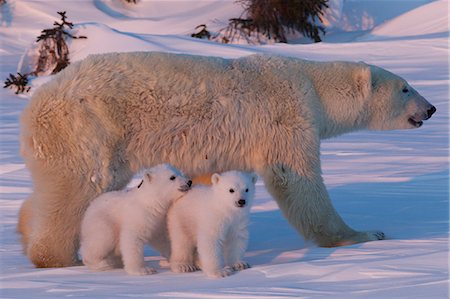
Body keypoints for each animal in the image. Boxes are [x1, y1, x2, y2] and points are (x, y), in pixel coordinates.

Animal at [18, 52, 436, 270]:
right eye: (405, 87)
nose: (431, 108)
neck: (312, 85)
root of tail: (36, 105)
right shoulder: (285, 117)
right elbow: (297, 178)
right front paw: (364, 234)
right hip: (89, 127)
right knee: (78, 188)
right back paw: (58, 257)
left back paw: (24, 230)